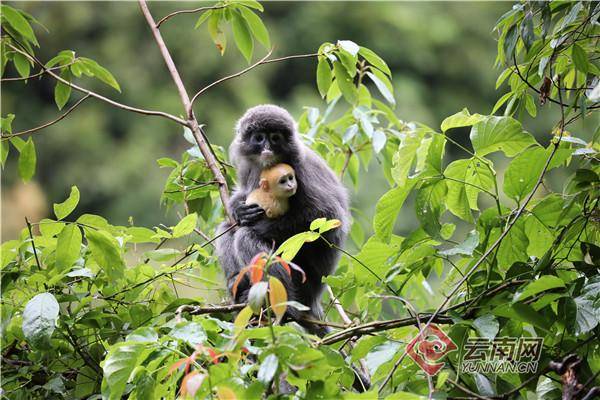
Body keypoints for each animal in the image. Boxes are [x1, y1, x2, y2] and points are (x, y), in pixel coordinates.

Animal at [216, 104, 350, 334]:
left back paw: (283, 305)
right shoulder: (249, 168)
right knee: (228, 227)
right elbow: (241, 198)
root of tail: (313, 300)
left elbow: (327, 216)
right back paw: (237, 283)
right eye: (259, 138)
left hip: (302, 282)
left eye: (275, 138)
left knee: (244, 235)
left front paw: (260, 226)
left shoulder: (302, 170)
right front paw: (238, 208)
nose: (267, 148)